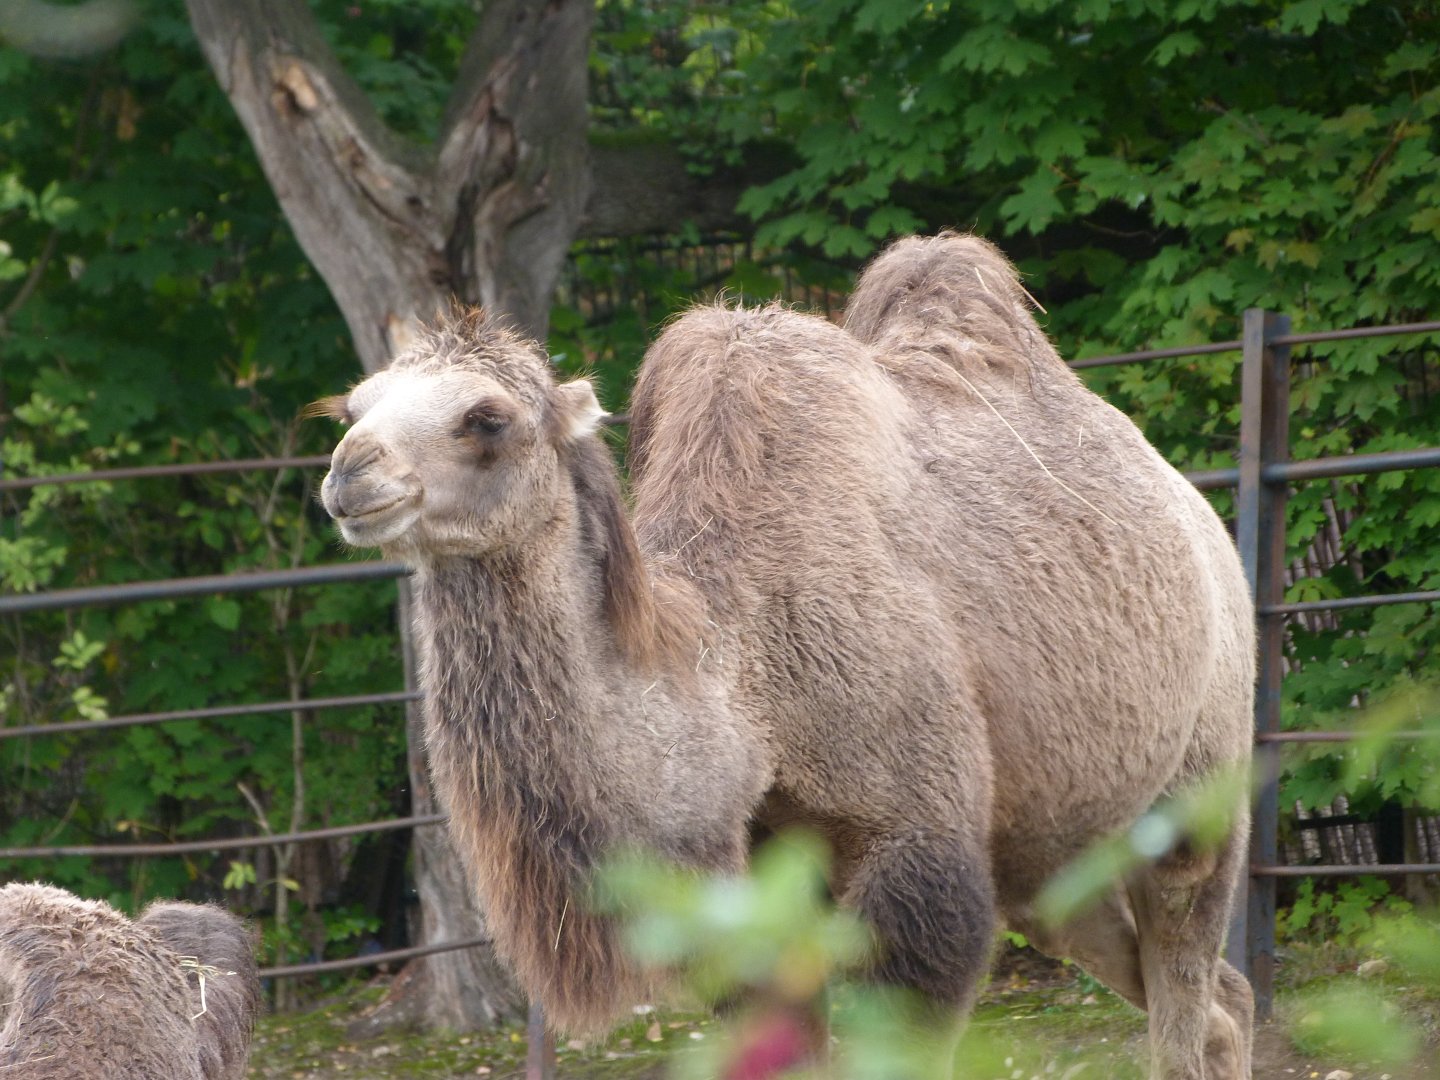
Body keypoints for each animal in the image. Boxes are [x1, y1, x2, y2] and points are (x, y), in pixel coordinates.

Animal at [316, 233, 1256, 1080]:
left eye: (486, 419)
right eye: (357, 408)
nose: (349, 472)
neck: (749, 689)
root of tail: (1200, 515)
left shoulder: (917, 841)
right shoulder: (748, 893)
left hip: (1202, 778)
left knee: (1185, 961)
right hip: (1052, 853)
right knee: (1215, 998)